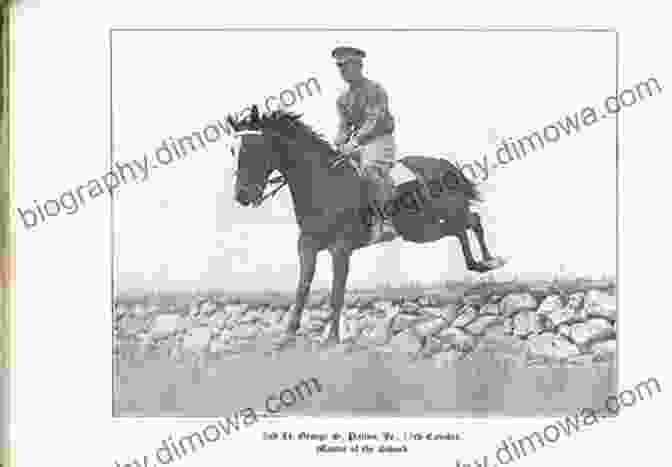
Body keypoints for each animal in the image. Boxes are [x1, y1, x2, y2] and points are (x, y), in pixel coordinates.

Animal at [226, 105, 504, 344]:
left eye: (254, 148)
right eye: (232, 151)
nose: (242, 196)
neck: (322, 183)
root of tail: (445, 166)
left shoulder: (340, 249)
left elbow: (336, 294)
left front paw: (331, 340)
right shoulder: (307, 246)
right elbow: (302, 289)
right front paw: (288, 335)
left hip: (446, 213)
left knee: (472, 221)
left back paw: (491, 260)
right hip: (424, 230)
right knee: (459, 230)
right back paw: (478, 264)